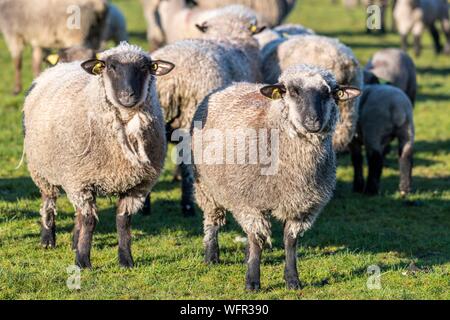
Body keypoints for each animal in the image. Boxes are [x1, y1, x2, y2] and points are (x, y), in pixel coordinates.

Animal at [22, 42, 175, 268]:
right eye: (111, 67)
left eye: (144, 67)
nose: (128, 95)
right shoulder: (81, 180)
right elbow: (90, 221)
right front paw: (83, 261)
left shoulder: (136, 185)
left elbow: (123, 221)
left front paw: (125, 260)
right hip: (42, 170)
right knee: (49, 201)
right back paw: (48, 239)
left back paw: (74, 241)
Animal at [193, 64, 362, 290]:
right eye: (293, 91)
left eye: (329, 93)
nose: (313, 121)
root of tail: (233, 84)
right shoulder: (250, 203)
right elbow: (257, 240)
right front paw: (252, 281)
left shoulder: (300, 207)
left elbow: (290, 241)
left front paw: (292, 280)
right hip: (206, 187)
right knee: (212, 219)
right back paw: (211, 256)